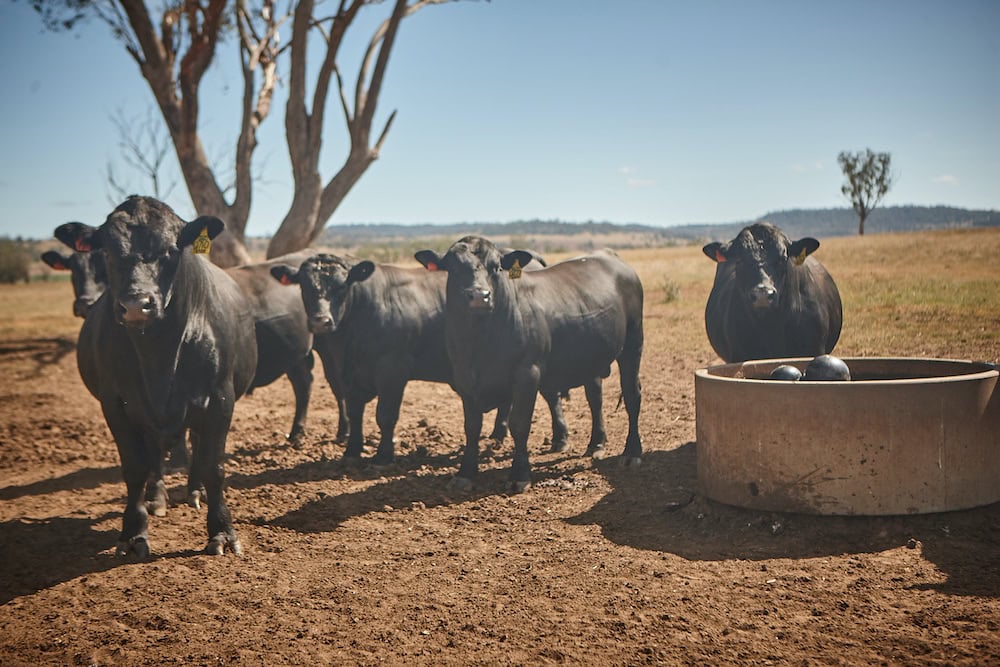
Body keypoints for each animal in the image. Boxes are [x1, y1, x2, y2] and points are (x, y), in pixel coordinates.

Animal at [54, 197, 258, 560]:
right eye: (108, 252)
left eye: (170, 251)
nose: (137, 305)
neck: (159, 355)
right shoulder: (116, 404)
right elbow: (136, 466)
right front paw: (134, 532)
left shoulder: (220, 399)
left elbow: (213, 466)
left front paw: (221, 531)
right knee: (155, 455)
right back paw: (156, 497)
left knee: (194, 448)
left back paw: (194, 492)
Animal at [416, 237, 644, 494]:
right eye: (453, 268)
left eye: (497, 267)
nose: (479, 296)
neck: (480, 341)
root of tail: (607, 255)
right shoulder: (464, 377)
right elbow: (472, 427)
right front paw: (465, 473)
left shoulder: (527, 373)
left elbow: (519, 423)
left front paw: (520, 474)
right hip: (591, 359)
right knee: (595, 398)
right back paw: (596, 443)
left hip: (633, 344)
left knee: (632, 395)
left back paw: (632, 453)